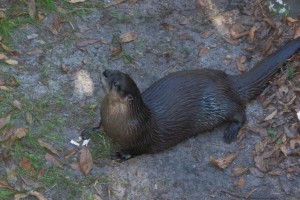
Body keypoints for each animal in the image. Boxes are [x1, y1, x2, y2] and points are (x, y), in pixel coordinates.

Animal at [82, 36, 300, 160]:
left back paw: (231, 131)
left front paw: (121, 154)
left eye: (116, 84)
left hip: (218, 103)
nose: (104, 72)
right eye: (113, 71)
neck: (119, 121)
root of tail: (227, 80)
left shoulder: (140, 135)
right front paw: (89, 130)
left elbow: (136, 150)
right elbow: (99, 125)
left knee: (239, 111)